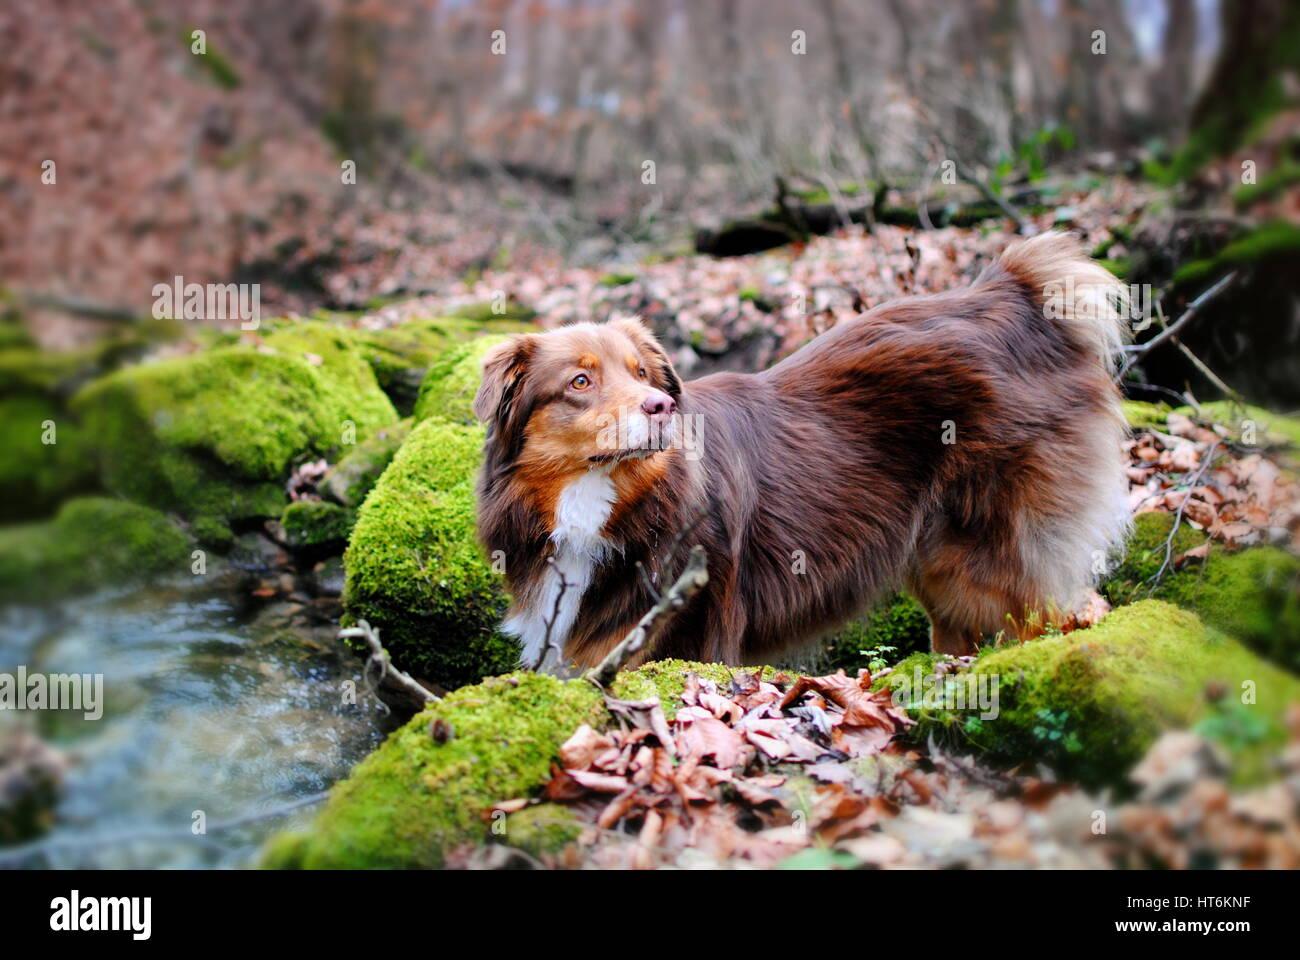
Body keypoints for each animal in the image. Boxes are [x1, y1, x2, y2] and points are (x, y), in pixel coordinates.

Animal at [473, 231, 1133, 666]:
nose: (660, 407)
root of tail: (1008, 296)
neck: (607, 502)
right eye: (580, 382)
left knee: (1050, 614)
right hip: (939, 561)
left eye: (642, 373)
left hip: (994, 551)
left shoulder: (679, 636)